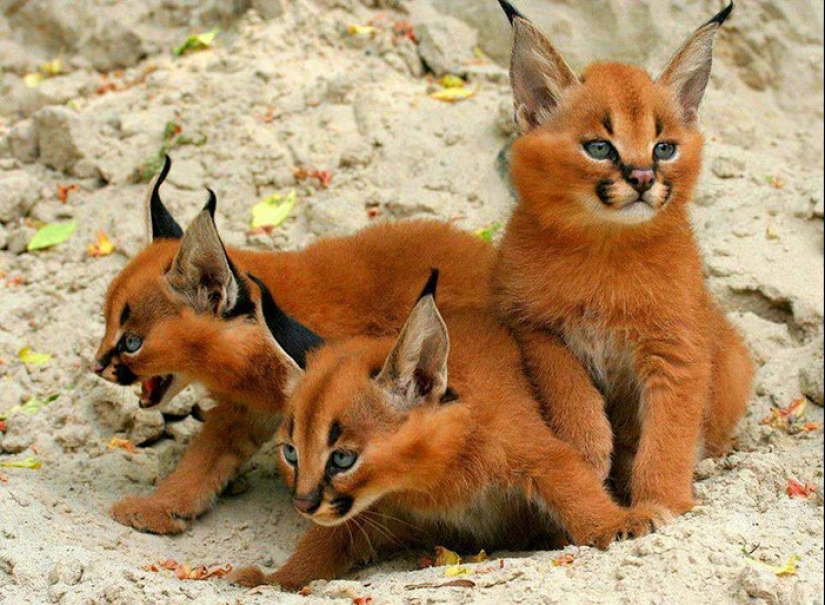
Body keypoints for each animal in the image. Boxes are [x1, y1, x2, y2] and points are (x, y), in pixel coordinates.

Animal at [96, 156, 496, 532]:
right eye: (105, 322)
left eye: (131, 342)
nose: (97, 365)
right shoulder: (245, 412)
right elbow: (203, 459)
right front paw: (161, 507)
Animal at [230, 272, 664, 588]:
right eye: (290, 452)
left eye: (341, 458)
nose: (302, 504)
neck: (429, 480)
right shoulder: (366, 510)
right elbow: (322, 542)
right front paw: (277, 579)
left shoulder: (537, 452)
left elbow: (573, 485)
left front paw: (615, 523)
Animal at [490, 1, 752, 516]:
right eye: (599, 148)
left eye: (664, 148)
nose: (643, 177)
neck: (605, 247)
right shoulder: (531, 325)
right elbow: (569, 387)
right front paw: (587, 456)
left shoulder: (678, 346)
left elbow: (670, 432)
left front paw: (661, 503)